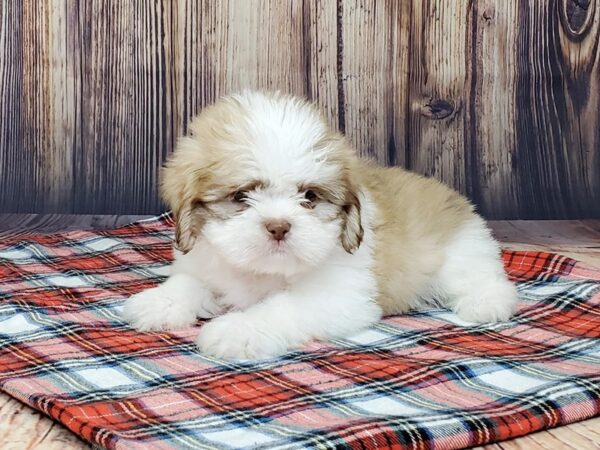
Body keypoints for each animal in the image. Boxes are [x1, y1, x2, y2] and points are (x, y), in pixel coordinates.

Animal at [120, 90, 516, 358]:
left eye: (309, 197)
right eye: (241, 196)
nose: (279, 226)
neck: (261, 271)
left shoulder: (338, 295)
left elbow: (282, 308)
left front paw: (239, 330)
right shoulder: (204, 261)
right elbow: (189, 282)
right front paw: (158, 302)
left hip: (462, 253)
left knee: (482, 279)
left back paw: (487, 304)